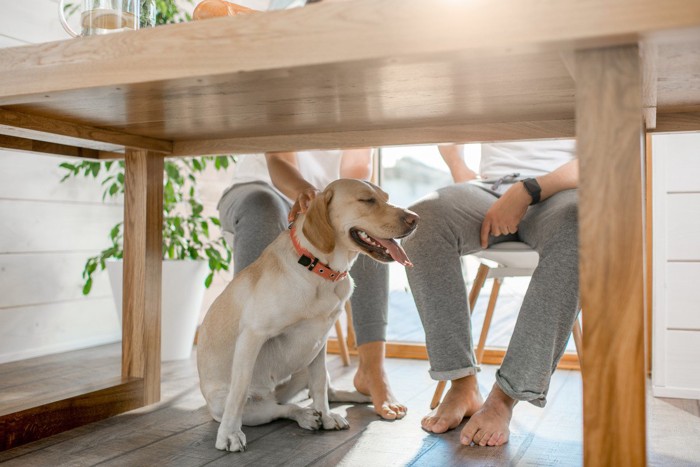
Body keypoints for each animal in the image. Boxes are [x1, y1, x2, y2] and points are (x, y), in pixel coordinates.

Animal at [197, 177, 418, 452]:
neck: (319, 268)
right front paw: (228, 434)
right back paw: (304, 415)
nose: (415, 219)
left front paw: (326, 416)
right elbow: (238, 392)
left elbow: (320, 383)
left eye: (386, 198)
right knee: (280, 409)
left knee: (314, 393)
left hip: (305, 361)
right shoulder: (252, 336)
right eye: (367, 200)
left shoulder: (319, 341)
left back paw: (350, 399)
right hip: (241, 406)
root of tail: (275, 393)